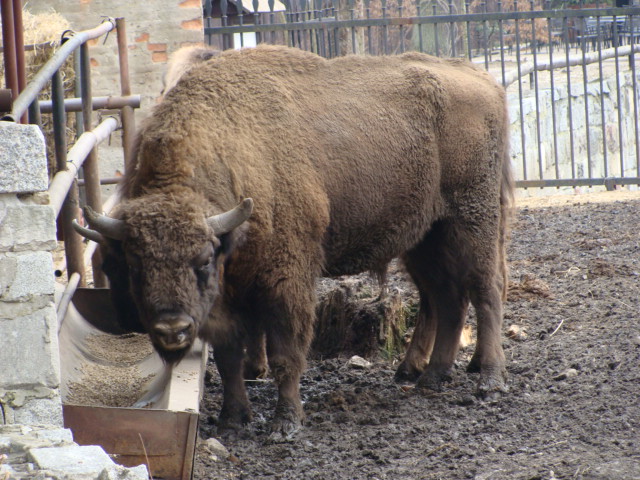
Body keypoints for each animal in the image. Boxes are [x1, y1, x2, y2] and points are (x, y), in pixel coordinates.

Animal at [74, 45, 513, 437]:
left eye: (202, 261)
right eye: (134, 265)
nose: (172, 329)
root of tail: (485, 81)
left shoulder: (286, 282)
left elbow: (286, 353)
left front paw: (286, 423)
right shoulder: (226, 300)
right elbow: (228, 358)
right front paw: (233, 421)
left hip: (472, 220)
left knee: (486, 289)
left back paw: (489, 381)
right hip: (426, 237)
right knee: (446, 298)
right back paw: (431, 377)